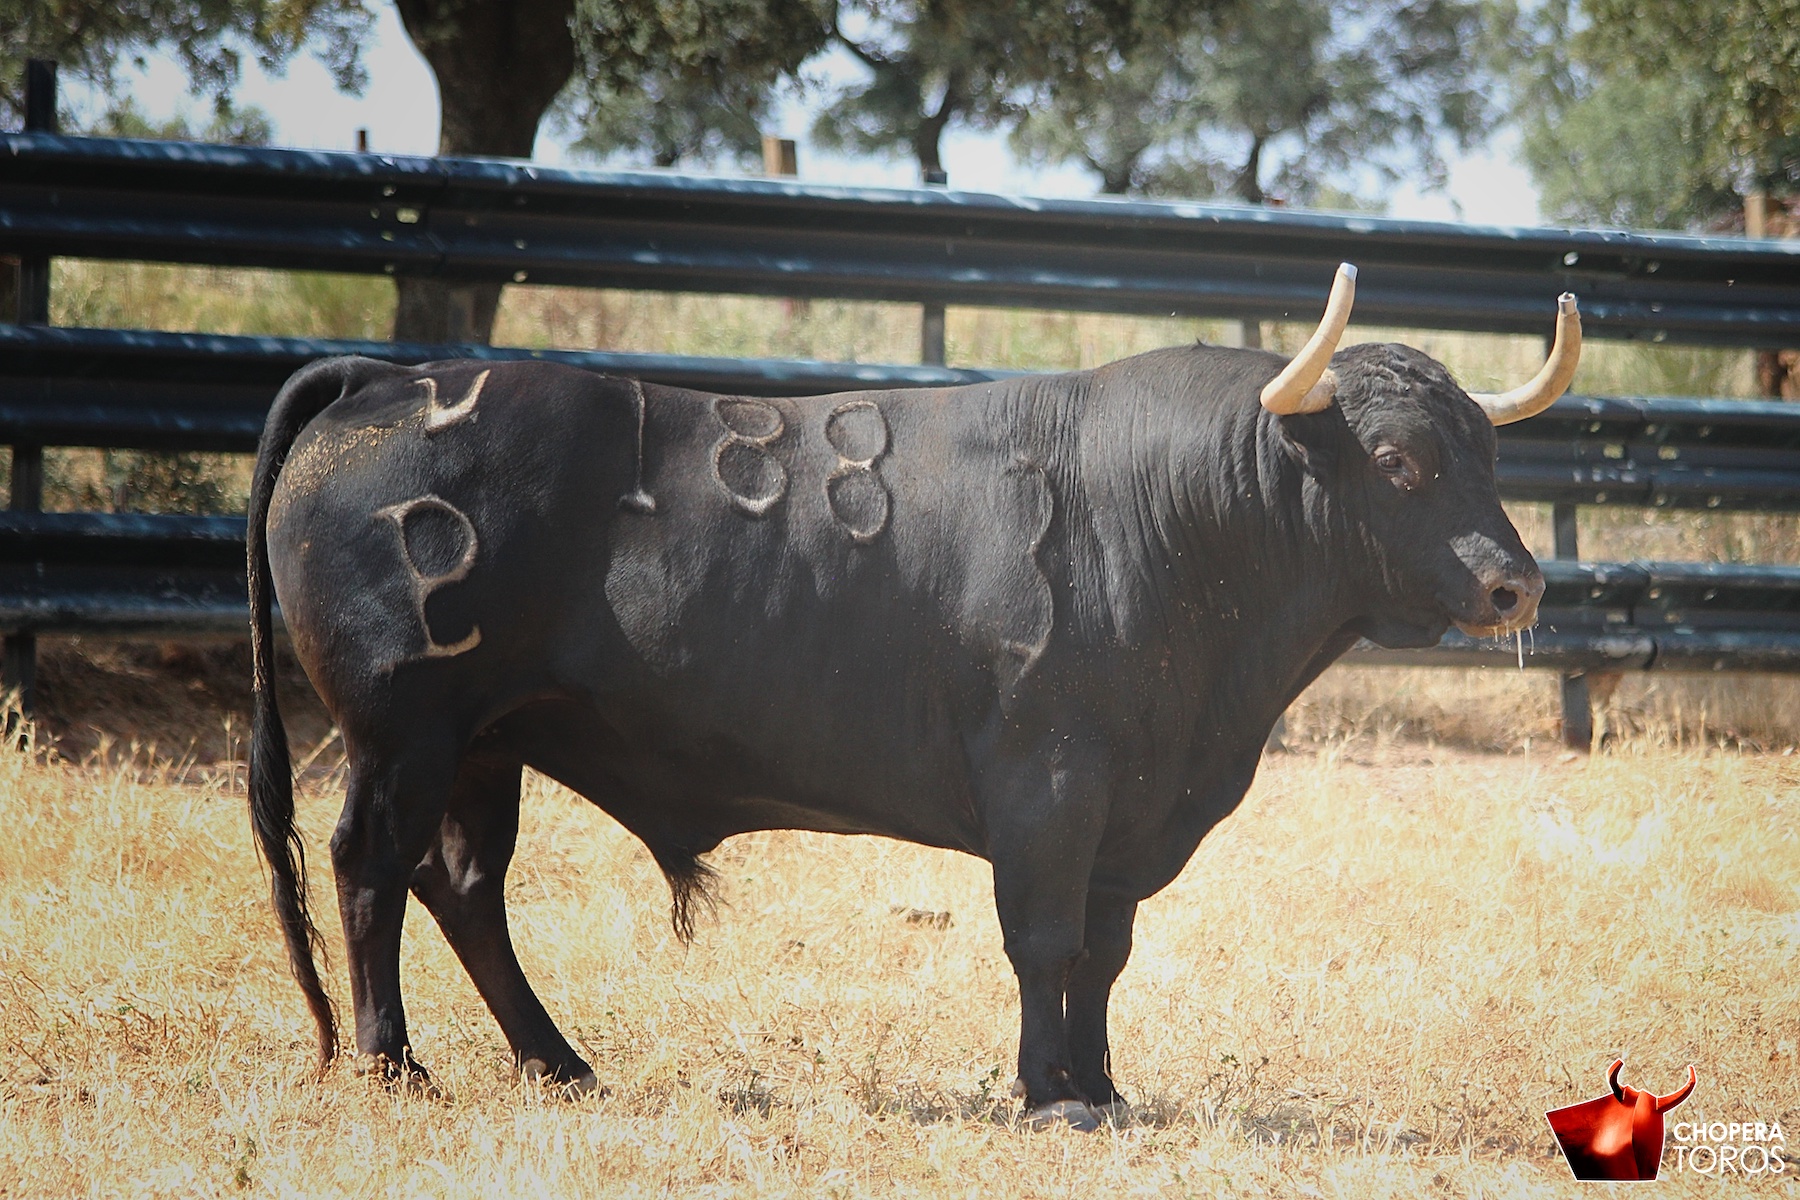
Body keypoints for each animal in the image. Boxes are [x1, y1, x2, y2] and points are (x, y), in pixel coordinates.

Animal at [250, 336, 1548, 1129]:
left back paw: (556, 1062)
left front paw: (1104, 1087)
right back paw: (392, 1063)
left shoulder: (1127, 809)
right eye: (1396, 460)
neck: (1168, 518)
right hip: (404, 731)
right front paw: (1050, 1095)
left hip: (487, 741)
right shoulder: (1048, 784)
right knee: (370, 869)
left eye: (1491, 452)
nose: (1513, 584)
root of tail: (386, 383)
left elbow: (1103, 954)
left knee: (464, 886)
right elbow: (1045, 944)